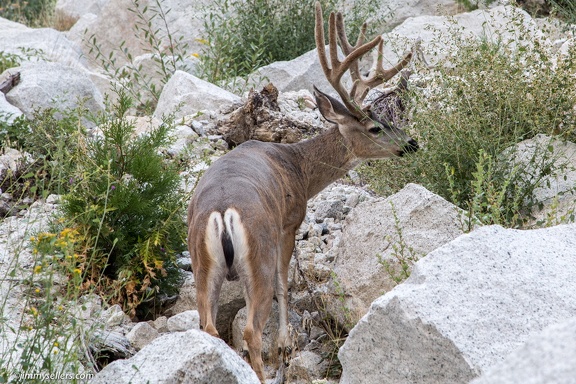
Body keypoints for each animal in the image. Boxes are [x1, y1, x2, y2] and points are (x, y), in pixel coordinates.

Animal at [188, 2, 418, 380]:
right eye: (375, 127)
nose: (411, 143)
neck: (298, 168)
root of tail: (222, 213)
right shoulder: (290, 222)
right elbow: (285, 284)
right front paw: (285, 342)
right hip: (259, 251)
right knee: (251, 327)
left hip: (201, 262)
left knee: (207, 325)